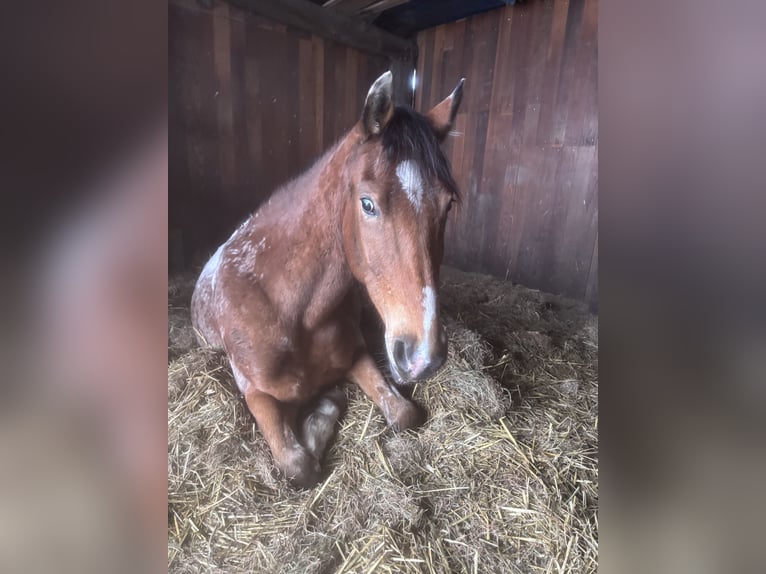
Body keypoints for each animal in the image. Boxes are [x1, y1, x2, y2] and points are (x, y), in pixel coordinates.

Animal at [191, 71, 464, 487]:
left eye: (448, 204)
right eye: (367, 203)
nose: (424, 357)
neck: (293, 310)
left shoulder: (357, 356)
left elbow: (404, 413)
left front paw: (326, 404)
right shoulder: (254, 391)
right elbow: (298, 465)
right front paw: (319, 413)